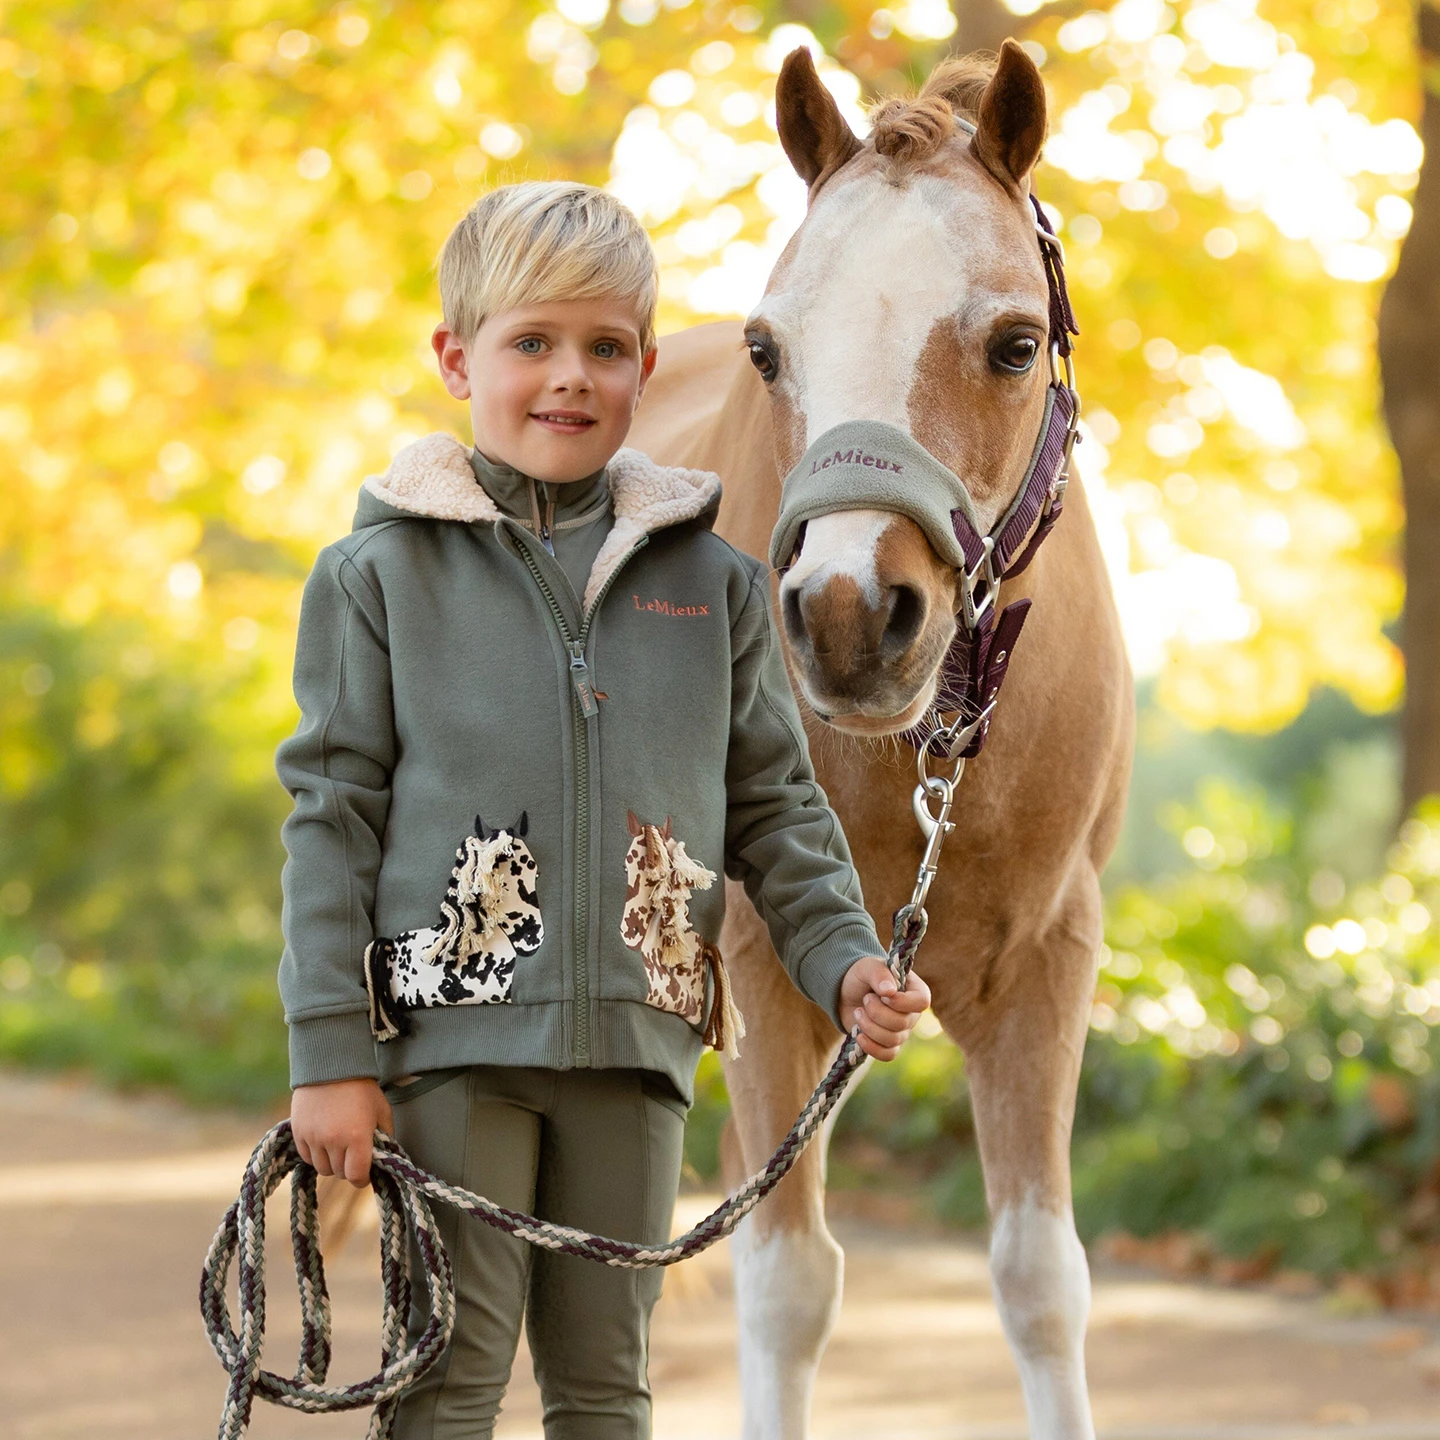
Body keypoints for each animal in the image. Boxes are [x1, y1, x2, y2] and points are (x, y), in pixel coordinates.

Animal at [628, 41, 1134, 1439]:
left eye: (1016, 343)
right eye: (768, 349)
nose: (850, 616)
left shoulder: (1048, 965)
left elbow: (1040, 1282)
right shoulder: (758, 960)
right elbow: (787, 1283)